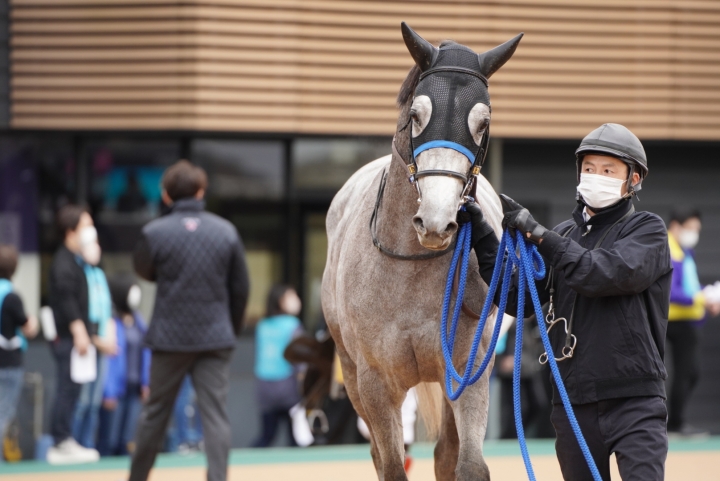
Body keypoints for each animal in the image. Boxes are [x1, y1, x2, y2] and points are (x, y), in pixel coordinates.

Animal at [324, 23, 520, 480]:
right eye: (416, 116)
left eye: (483, 123)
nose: (436, 220)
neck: (411, 270)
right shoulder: (375, 382)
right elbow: (392, 465)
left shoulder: (467, 368)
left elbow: (468, 465)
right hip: (350, 372)